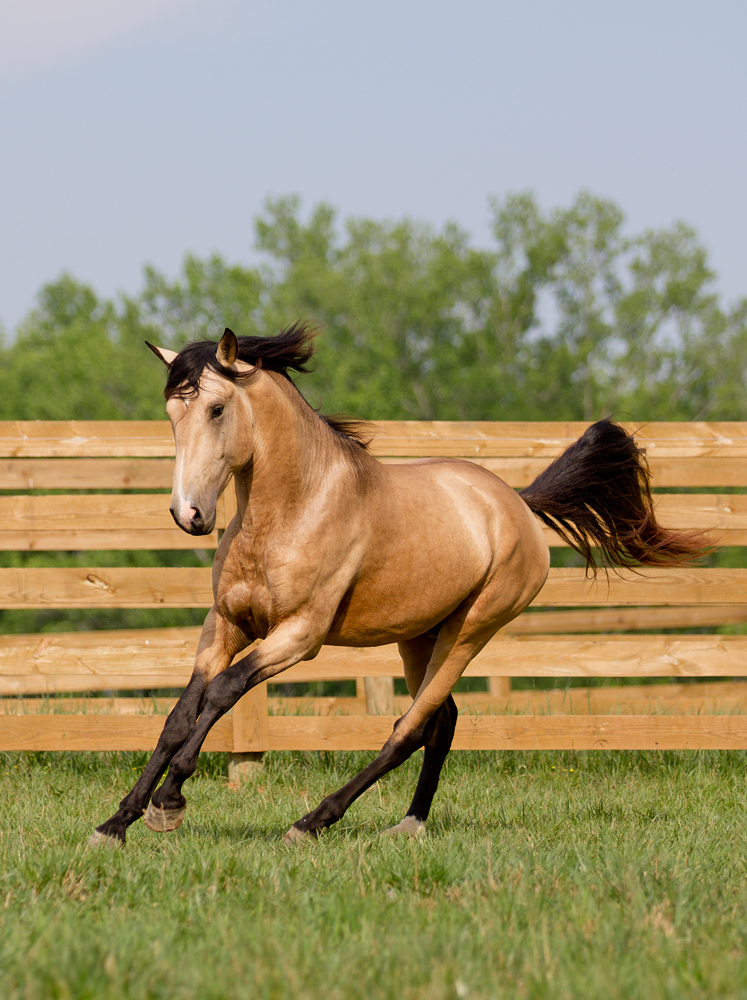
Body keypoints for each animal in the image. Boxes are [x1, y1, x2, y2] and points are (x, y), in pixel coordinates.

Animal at [87, 324, 700, 848]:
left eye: (216, 409)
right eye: (172, 413)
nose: (188, 514)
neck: (293, 510)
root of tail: (518, 505)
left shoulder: (299, 637)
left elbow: (222, 692)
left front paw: (169, 802)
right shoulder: (226, 625)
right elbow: (178, 717)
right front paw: (117, 822)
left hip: (469, 632)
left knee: (408, 729)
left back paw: (312, 823)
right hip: (419, 638)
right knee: (441, 721)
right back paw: (410, 823)